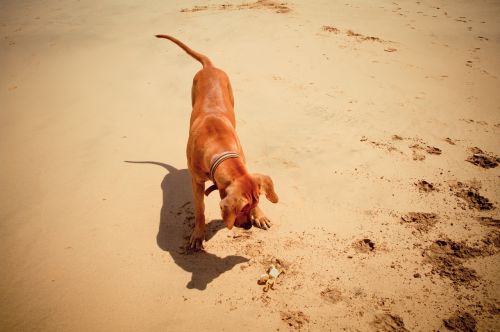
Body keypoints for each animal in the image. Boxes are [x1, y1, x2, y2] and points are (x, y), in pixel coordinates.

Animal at [156, 35, 280, 249]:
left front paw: (260, 216)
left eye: (253, 206)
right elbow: (200, 211)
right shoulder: (196, 183)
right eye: (241, 210)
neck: (219, 147)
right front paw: (198, 234)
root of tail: (209, 67)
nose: (248, 226)